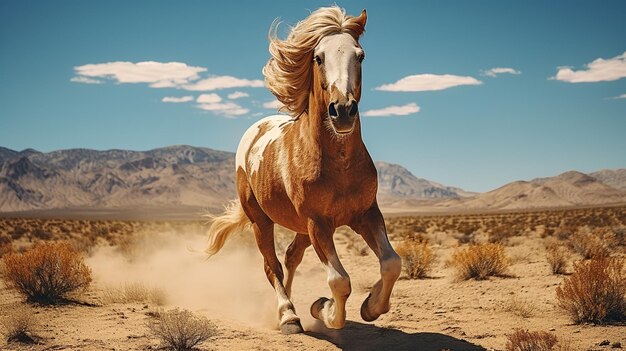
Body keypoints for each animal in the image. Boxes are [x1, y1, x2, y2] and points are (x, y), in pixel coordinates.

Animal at [205, 5, 400, 336]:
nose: (343, 110)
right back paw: (288, 316)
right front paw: (323, 308)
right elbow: (339, 280)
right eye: (318, 57)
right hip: (261, 220)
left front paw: (371, 306)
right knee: (272, 265)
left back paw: (290, 306)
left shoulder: (366, 213)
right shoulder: (318, 223)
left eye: (360, 55)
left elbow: (391, 263)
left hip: (301, 227)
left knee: (290, 257)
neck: (339, 165)